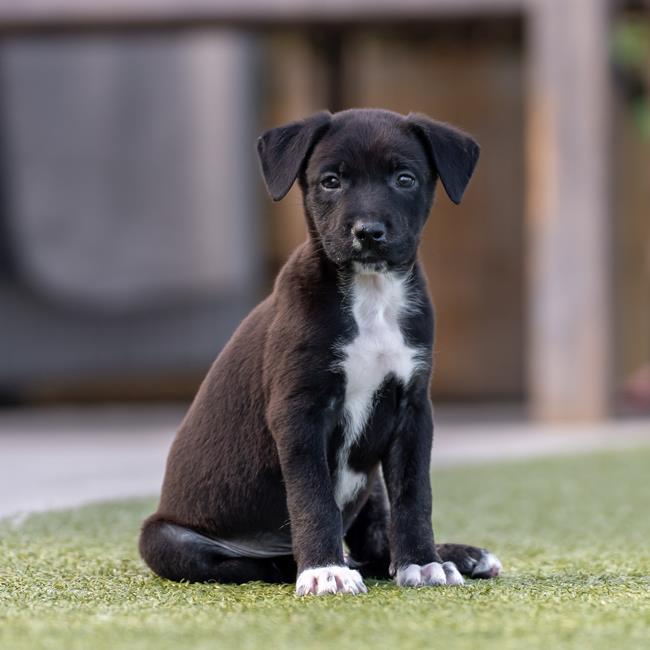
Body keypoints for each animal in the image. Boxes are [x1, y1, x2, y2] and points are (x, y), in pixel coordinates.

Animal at [139, 107, 498, 592]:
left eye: (405, 179)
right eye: (331, 181)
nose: (369, 233)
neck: (371, 295)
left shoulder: (413, 409)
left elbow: (414, 495)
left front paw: (423, 562)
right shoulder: (299, 412)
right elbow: (313, 497)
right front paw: (324, 569)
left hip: (370, 486)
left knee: (374, 541)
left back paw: (458, 555)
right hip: (165, 539)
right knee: (255, 562)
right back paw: (309, 563)